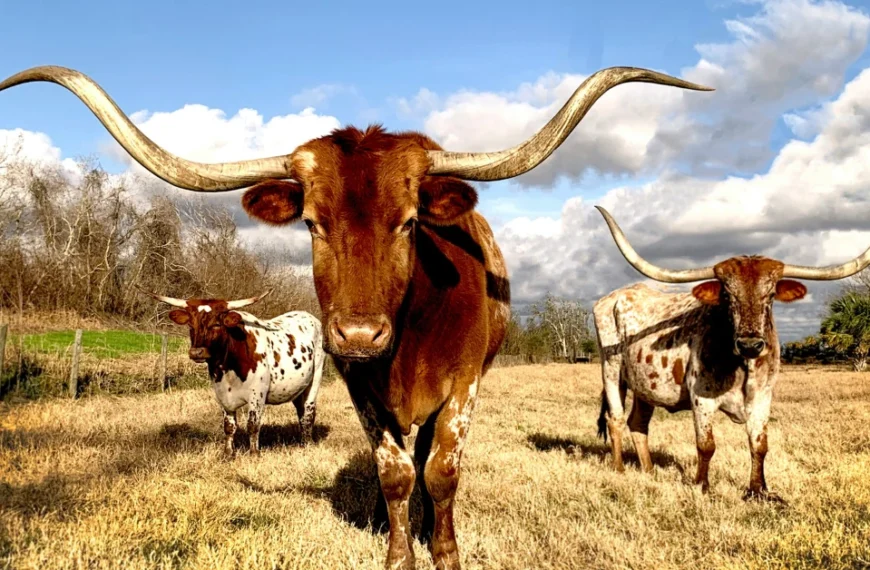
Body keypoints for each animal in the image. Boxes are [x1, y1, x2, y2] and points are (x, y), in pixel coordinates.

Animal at [146, 290, 328, 454]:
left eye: (217, 324)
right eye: (191, 325)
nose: (197, 352)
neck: (228, 368)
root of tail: (308, 316)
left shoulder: (257, 394)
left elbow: (253, 425)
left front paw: (254, 454)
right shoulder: (222, 395)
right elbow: (229, 426)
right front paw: (228, 454)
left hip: (315, 378)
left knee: (308, 413)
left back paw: (308, 444)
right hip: (298, 388)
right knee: (301, 411)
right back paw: (303, 442)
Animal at [592, 206, 870, 500]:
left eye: (770, 295)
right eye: (727, 295)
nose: (750, 345)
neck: (741, 364)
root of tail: (613, 297)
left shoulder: (762, 398)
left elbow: (759, 445)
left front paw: (759, 491)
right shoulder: (701, 399)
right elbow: (706, 445)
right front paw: (702, 486)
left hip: (645, 386)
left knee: (638, 423)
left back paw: (649, 471)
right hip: (611, 370)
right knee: (615, 419)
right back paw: (619, 469)